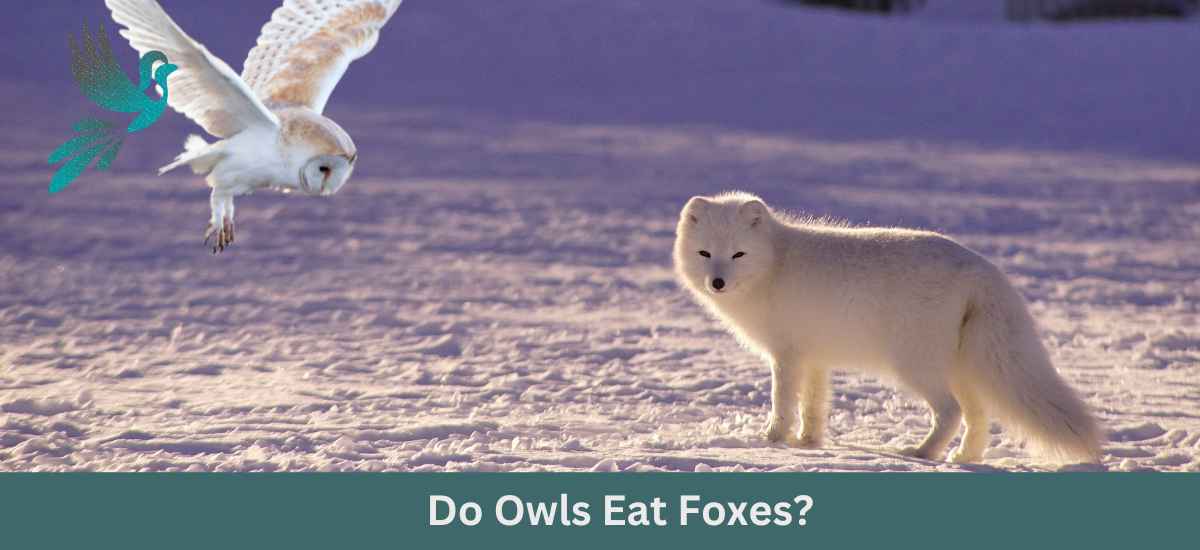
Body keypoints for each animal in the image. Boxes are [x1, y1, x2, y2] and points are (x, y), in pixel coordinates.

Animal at [673, 191, 1102, 464]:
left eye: (738, 254)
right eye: (705, 253)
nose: (717, 283)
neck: (774, 264)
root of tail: (983, 268)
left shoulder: (787, 356)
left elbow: (783, 403)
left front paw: (772, 441)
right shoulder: (815, 358)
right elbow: (814, 406)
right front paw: (809, 443)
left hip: (915, 365)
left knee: (950, 411)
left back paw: (922, 453)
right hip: (961, 367)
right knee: (977, 415)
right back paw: (965, 457)